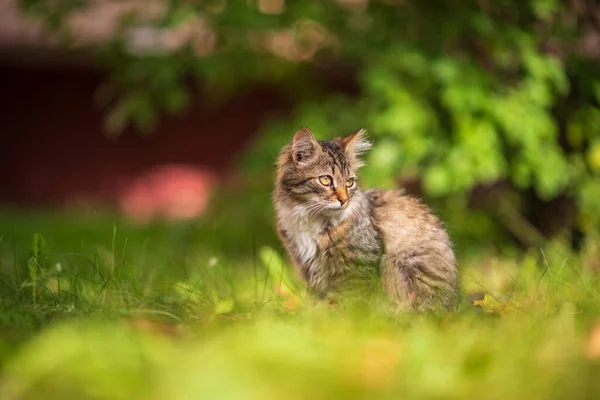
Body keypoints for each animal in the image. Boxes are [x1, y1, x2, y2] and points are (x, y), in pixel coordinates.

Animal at [274, 126, 460, 310]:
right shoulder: (306, 265)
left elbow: (352, 301)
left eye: (349, 182)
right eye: (325, 180)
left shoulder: (358, 266)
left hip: (399, 262)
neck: (310, 219)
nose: (344, 200)